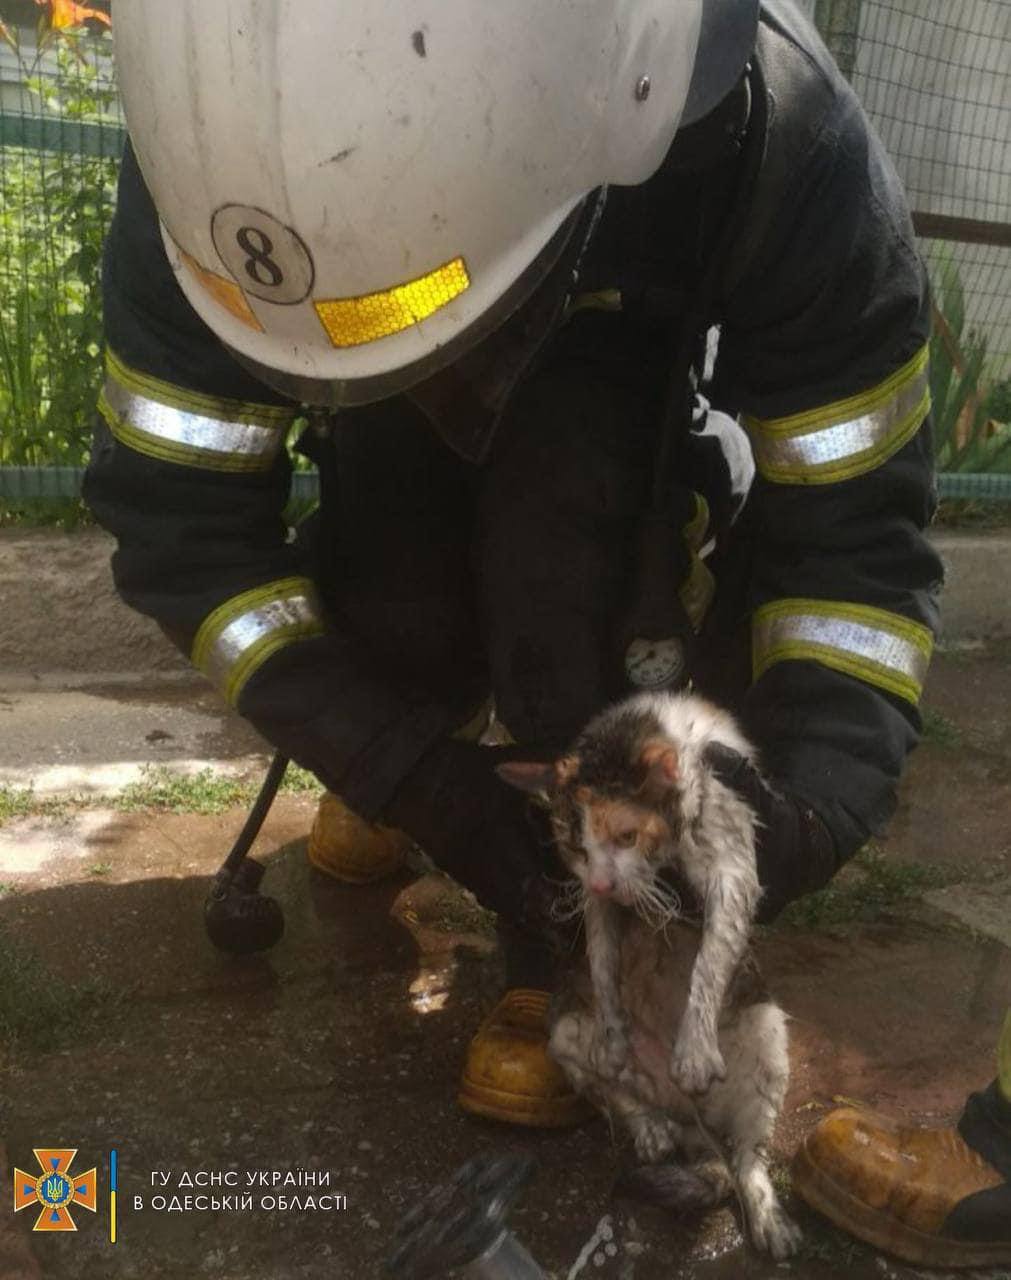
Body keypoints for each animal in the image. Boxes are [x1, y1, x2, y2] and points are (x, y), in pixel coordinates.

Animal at [501, 691, 803, 1259]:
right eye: (574, 847)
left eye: (626, 836)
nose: (600, 883)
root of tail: (688, 1117)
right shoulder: (597, 906)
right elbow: (601, 960)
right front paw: (614, 1034)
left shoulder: (732, 868)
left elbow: (710, 961)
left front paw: (694, 1051)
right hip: (564, 1030)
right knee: (615, 1095)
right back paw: (649, 1126)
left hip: (768, 1036)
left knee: (746, 1159)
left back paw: (767, 1216)